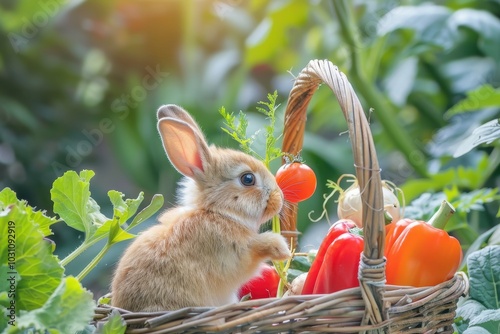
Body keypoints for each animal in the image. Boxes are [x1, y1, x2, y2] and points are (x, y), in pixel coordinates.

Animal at [109, 105, 290, 314]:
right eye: (247, 179)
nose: (280, 197)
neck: (219, 213)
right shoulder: (235, 252)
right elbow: (258, 246)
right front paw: (283, 249)